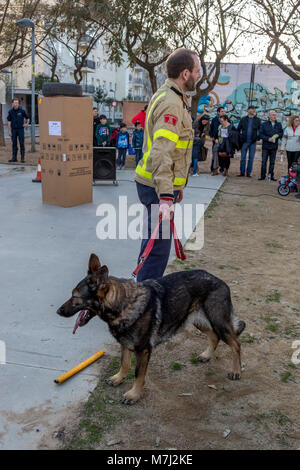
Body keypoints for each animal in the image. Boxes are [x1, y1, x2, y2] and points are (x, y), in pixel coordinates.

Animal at [56, 253, 246, 404]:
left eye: (75, 297)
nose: (58, 311)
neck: (123, 304)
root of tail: (220, 281)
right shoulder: (125, 344)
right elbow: (124, 363)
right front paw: (118, 378)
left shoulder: (143, 350)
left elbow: (138, 374)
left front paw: (133, 395)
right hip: (196, 321)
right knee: (214, 336)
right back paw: (206, 355)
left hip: (218, 323)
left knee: (236, 344)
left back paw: (236, 371)